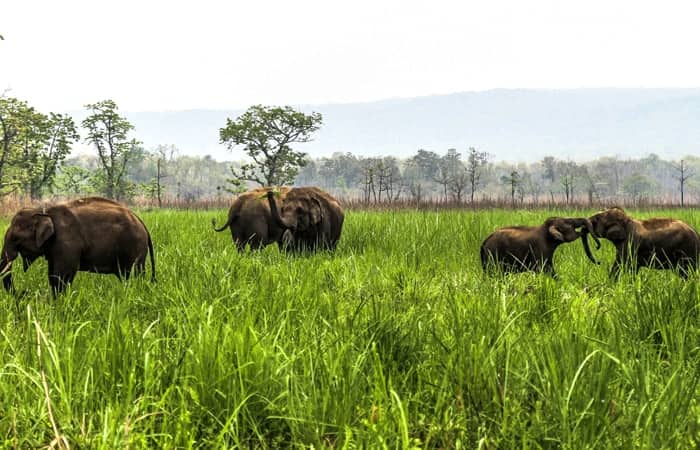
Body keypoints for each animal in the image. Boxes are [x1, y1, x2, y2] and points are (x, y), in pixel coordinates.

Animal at [0, 197, 154, 296]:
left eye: (15, 239)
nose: (25, 292)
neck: (44, 212)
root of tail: (141, 222)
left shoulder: (66, 242)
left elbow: (62, 275)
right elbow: (52, 274)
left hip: (135, 247)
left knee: (134, 274)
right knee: (128, 276)